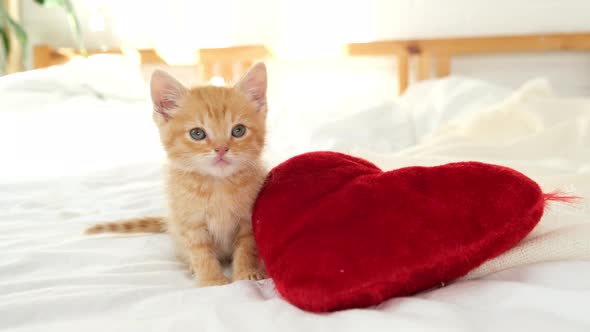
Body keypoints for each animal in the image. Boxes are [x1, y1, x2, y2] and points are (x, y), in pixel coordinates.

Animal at [86, 64, 270, 286]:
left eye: (239, 130)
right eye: (197, 134)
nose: (221, 149)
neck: (218, 185)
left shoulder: (247, 219)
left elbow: (246, 247)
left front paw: (246, 273)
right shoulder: (189, 220)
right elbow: (200, 251)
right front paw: (212, 280)